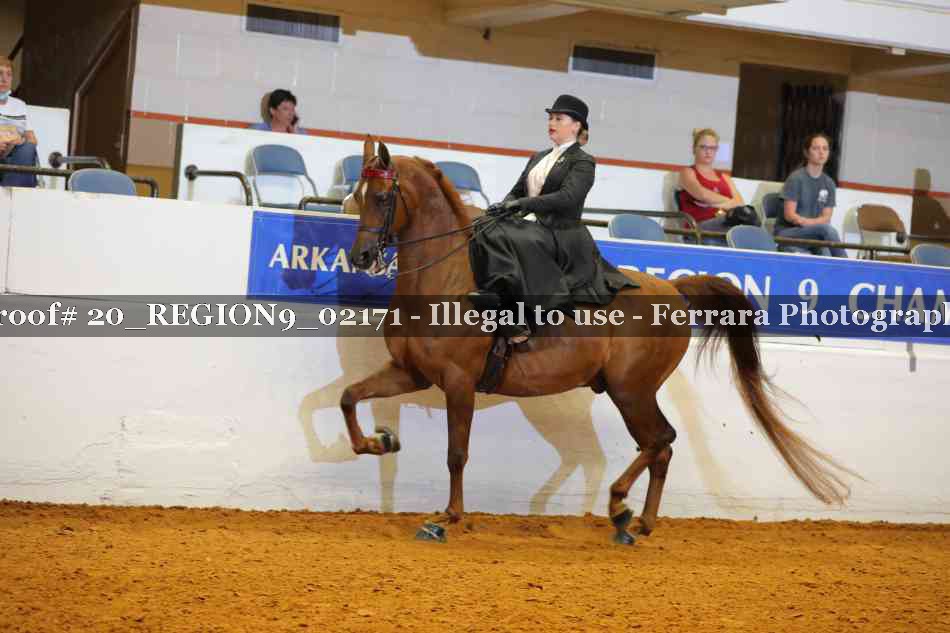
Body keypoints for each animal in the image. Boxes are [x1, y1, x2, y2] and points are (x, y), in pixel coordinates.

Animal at [340, 137, 852, 544]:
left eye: (382, 196)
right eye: (355, 195)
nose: (361, 257)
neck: (445, 277)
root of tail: (675, 290)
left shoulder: (459, 382)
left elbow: (456, 454)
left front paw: (445, 518)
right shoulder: (411, 371)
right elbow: (350, 397)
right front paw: (379, 442)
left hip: (631, 390)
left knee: (659, 440)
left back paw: (622, 508)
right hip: (626, 391)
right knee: (654, 447)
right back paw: (638, 523)